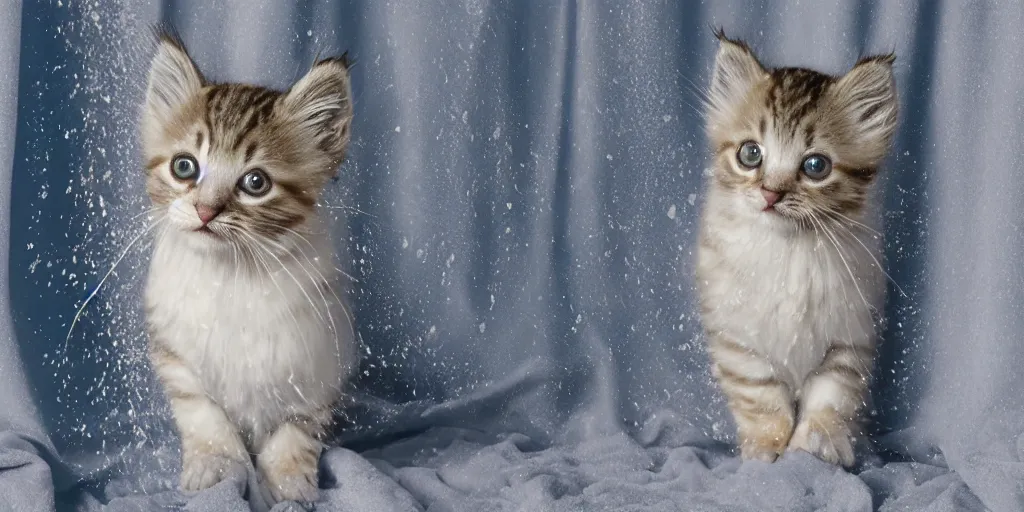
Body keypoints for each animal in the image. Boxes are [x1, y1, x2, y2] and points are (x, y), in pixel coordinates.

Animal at [140, 33, 356, 503]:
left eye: (255, 183)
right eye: (184, 166)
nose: (205, 210)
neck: (232, 275)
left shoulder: (320, 362)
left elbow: (295, 431)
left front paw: (289, 482)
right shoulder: (175, 354)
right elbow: (204, 415)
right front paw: (216, 469)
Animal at [696, 29, 897, 466]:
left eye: (815, 166)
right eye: (750, 154)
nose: (771, 193)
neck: (790, 252)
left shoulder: (850, 339)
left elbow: (830, 400)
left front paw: (813, 448)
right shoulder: (737, 339)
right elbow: (764, 402)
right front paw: (766, 450)